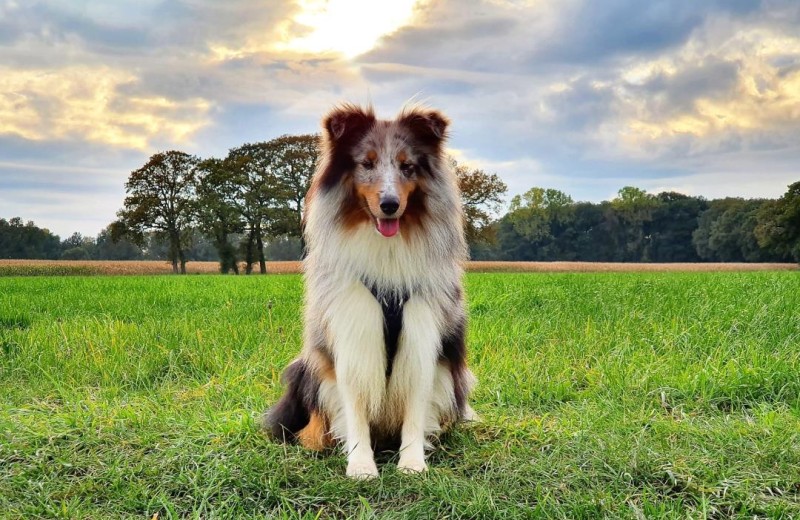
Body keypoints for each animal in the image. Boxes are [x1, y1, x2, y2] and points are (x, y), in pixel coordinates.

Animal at [266, 102, 476, 480]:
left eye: (408, 166)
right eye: (366, 163)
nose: (390, 204)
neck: (386, 249)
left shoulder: (422, 334)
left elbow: (415, 408)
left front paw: (412, 463)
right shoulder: (353, 328)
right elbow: (355, 408)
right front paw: (361, 464)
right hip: (307, 367)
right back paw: (315, 440)